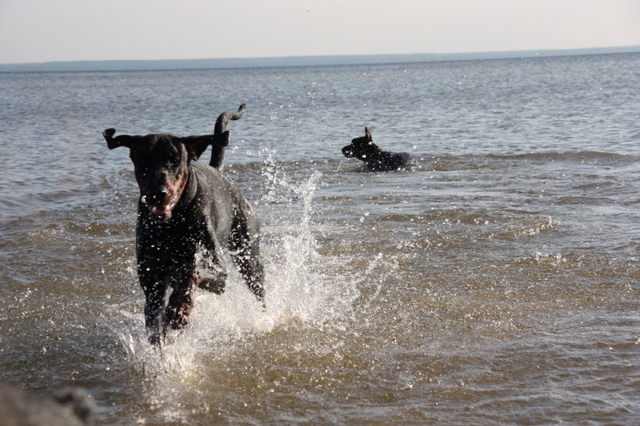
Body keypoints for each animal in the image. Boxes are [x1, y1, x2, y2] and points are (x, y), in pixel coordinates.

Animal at [103, 104, 264, 347]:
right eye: (143, 158)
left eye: (174, 159)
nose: (157, 193)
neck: (172, 224)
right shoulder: (152, 281)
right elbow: (154, 318)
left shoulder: (218, 272)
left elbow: (192, 274)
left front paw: (179, 308)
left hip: (249, 256)